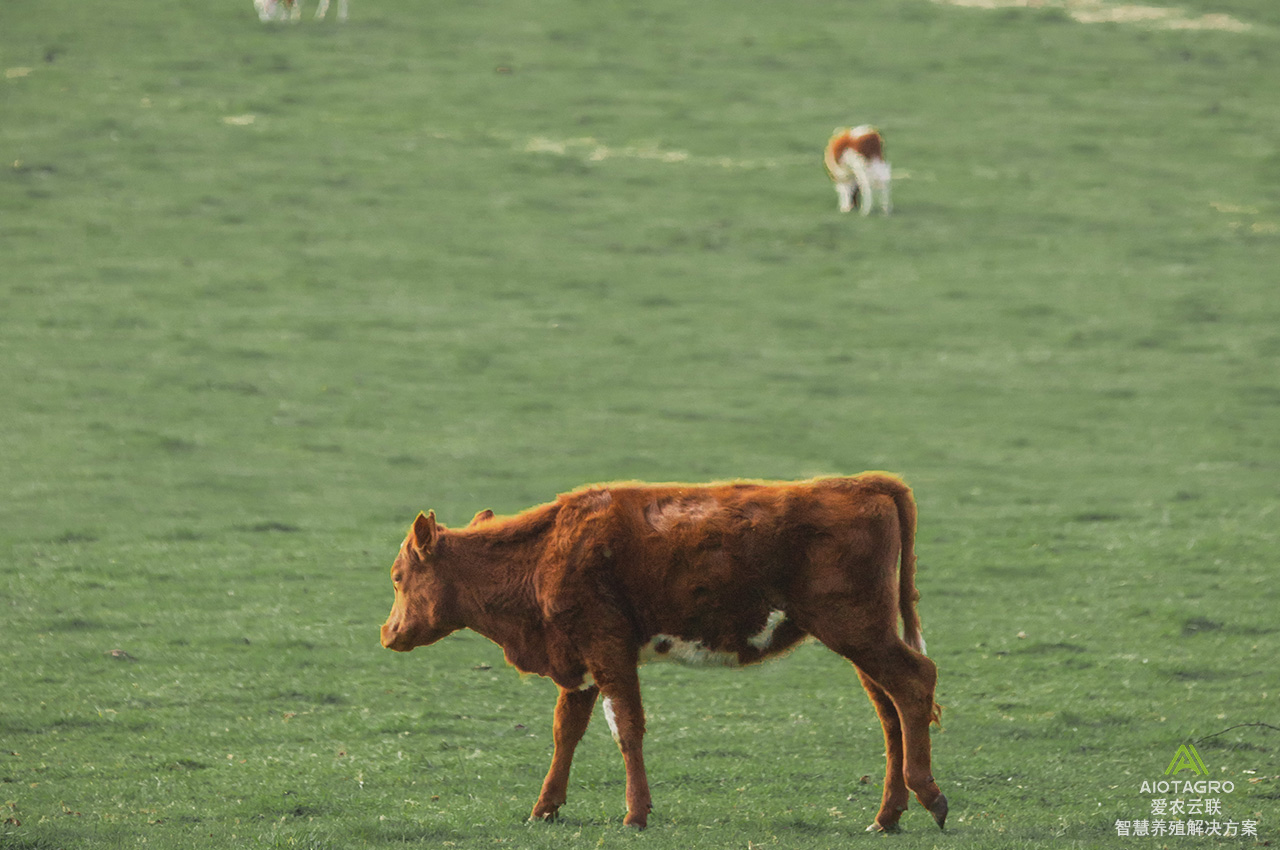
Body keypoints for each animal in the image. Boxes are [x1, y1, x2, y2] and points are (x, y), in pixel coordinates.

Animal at [373, 471, 947, 829]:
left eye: (398, 577)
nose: (388, 633)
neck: (545, 551)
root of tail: (860, 484)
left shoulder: (607, 649)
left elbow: (626, 729)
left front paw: (635, 813)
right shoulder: (578, 664)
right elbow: (566, 733)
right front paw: (545, 808)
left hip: (858, 631)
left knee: (914, 683)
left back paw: (927, 796)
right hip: (862, 640)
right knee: (890, 712)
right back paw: (887, 816)